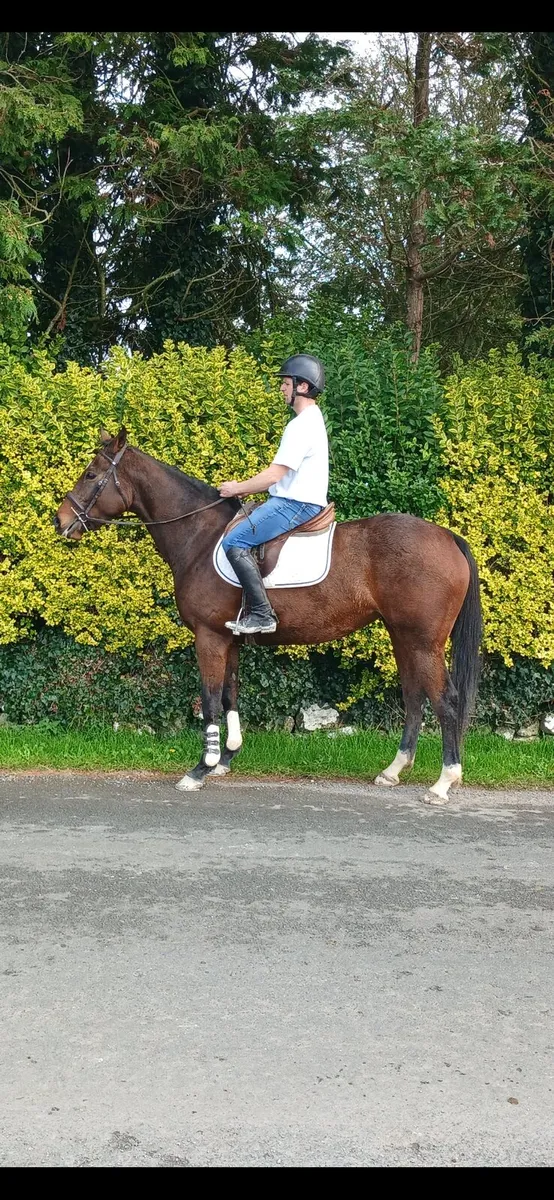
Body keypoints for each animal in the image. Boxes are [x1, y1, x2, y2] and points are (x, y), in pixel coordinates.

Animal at [54, 427, 482, 805]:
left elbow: (210, 697)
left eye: (91, 474)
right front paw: (226, 758)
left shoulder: (208, 637)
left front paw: (200, 769)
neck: (200, 535)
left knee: (445, 700)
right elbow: (230, 694)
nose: (61, 521)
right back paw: (393, 770)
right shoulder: (228, 638)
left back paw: (443, 783)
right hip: (401, 635)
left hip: (423, 641)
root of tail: (448, 536)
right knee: (414, 696)